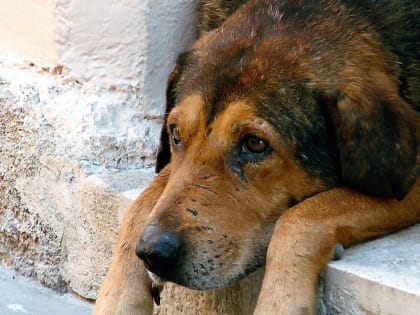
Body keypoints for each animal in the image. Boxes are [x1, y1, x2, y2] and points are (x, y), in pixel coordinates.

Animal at [93, 1, 418, 314]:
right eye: (175, 134)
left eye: (255, 143)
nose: (153, 254)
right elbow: (141, 204)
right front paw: (117, 300)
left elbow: (299, 217)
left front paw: (281, 303)